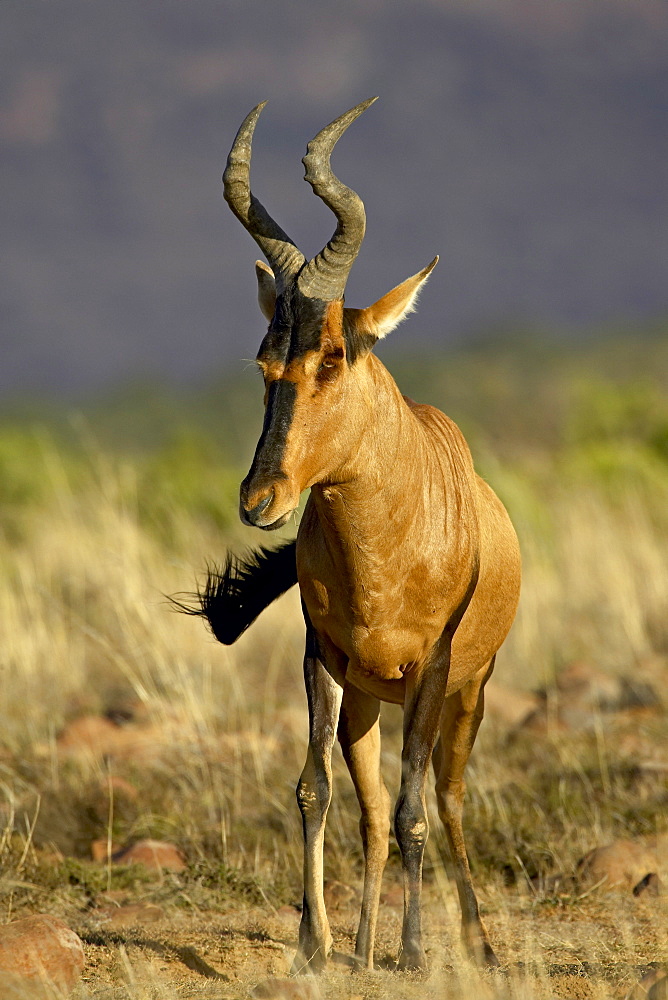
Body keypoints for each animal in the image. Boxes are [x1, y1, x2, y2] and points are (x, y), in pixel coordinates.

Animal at [188, 97, 520, 972]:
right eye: (266, 362)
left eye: (335, 355)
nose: (261, 499)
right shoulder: (322, 656)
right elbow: (315, 790)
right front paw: (315, 945)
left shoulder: (432, 669)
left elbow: (413, 811)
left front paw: (414, 953)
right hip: (367, 700)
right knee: (368, 810)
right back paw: (364, 942)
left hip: (465, 694)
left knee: (445, 799)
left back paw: (473, 945)